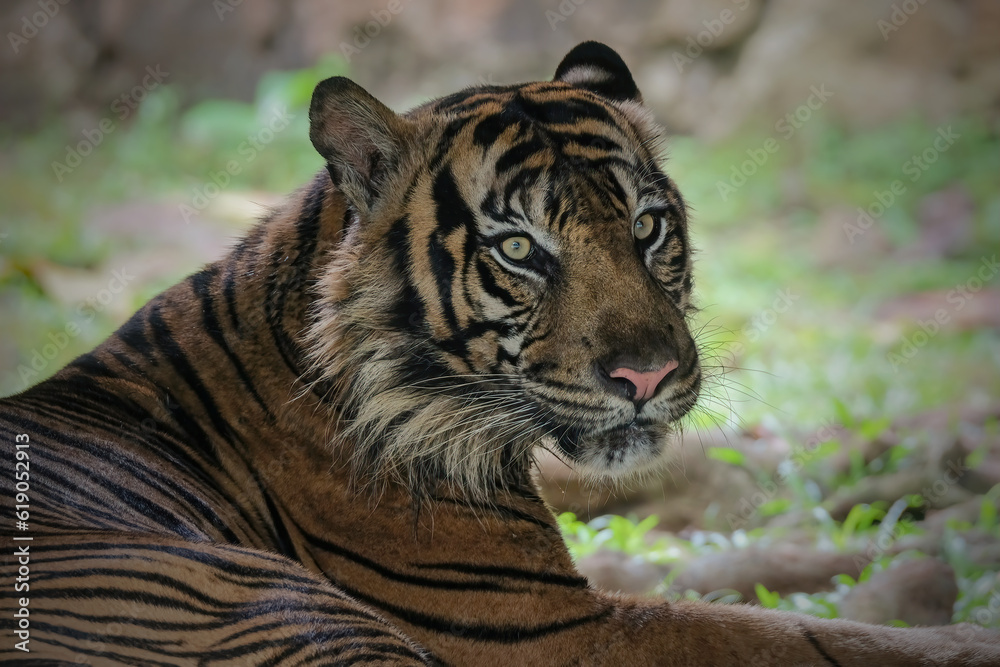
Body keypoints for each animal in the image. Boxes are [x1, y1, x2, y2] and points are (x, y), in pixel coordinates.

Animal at [1, 40, 998, 666]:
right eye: (520, 248)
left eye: (647, 227)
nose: (648, 375)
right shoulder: (544, 628)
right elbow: (797, 638)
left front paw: (921, 530)